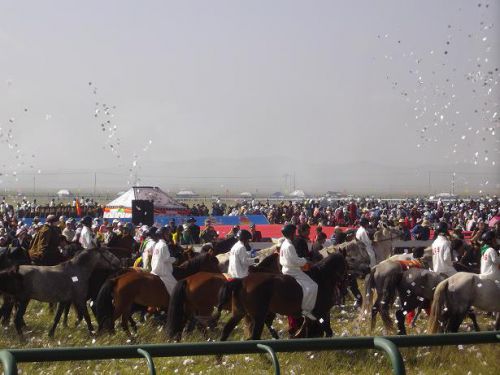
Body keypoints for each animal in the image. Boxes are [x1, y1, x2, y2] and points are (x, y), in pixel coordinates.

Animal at [215, 253, 348, 344]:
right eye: (347, 264)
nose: (344, 290)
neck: (322, 277)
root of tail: (242, 281)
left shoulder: (319, 313)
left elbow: (312, 326)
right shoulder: (320, 312)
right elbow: (327, 331)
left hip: (240, 312)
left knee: (227, 330)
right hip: (259, 316)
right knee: (255, 336)